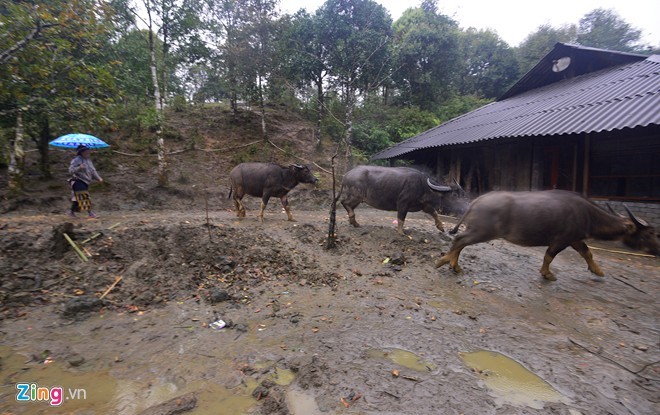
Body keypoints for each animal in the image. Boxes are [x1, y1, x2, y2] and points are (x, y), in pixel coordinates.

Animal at [436, 190, 656, 282]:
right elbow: (549, 255)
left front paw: (598, 271)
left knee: (460, 242)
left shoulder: (575, 239)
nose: (657, 250)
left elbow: (588, 253)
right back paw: (446, 262)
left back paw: (454, 265)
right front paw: (547, 274)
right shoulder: (563, 240)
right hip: (482, 231)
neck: (587, 213)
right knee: (460, 240)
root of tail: (477, 201)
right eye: (650, 233)